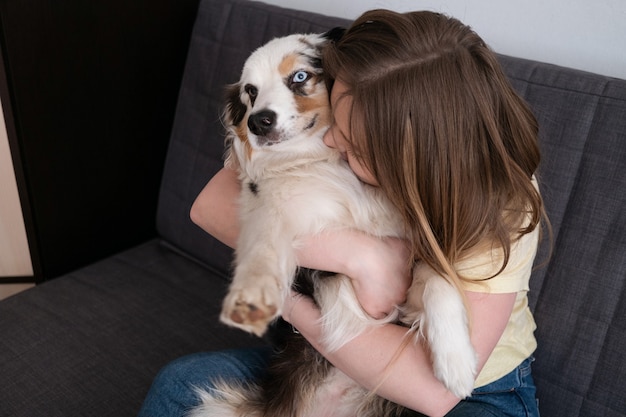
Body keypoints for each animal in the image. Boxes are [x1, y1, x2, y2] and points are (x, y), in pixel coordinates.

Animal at [188, 30, 476, 416]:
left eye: (299, 77)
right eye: (250, 90)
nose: (257, 121)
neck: (325, 162)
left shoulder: (408, 253)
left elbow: (439, 281)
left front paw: (456, 364)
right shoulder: (274, 209)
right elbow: (264, 242)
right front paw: (252, 294)